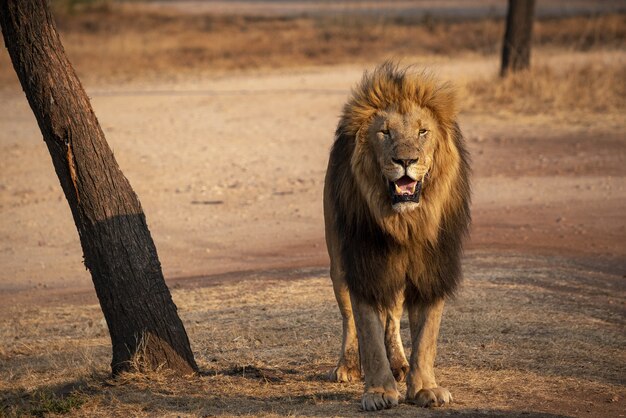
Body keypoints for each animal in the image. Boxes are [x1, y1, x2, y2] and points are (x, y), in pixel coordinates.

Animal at [322, 62, 468, 412]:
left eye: (422, 132)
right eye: (384, 132)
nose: (405, 160)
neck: (405, 223)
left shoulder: (431, 268)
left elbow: (426, 336)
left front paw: (425, 388)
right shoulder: (364, 264)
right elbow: (368, 333)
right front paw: (378, 392)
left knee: (393, 313)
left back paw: (400, 363)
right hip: (338, 263)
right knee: (348, 317)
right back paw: (347, 365)